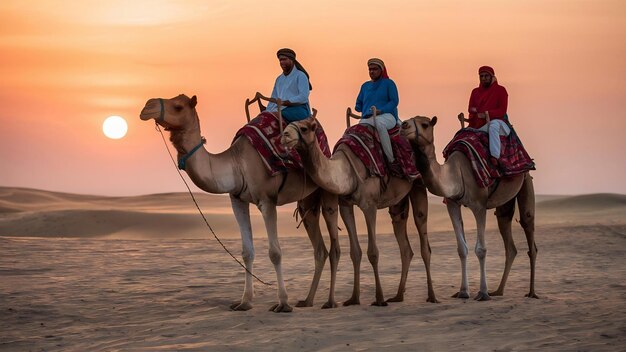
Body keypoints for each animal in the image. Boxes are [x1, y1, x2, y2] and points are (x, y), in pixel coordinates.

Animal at [140, 95, 338, 312]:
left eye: (178, 106)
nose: (147, 106)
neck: (237, 164)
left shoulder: (267, 201)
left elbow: (275, 252)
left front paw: (283, 303)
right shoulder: (237, 201)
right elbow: (247, 252)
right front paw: (245, 302)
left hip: (327, 189)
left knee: (334, 244)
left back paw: (332, 302)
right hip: (306, 201)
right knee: (319, 249)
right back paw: (307, 300)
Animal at [280, 118, 436, 306]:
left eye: (304, 128)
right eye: (288, 125)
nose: (285, 136)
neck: (347, 171)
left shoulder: (369, 205)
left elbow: (373, 252)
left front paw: (379, 299)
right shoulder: (345, 206)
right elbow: (355, 252)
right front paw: (354, 298)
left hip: (418, 184)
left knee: (424, 242)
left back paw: (432, 296)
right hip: (398, 202)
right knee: (405, 246)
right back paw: (398, 296)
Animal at [400, 115, 536, 300]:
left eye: (425, 124)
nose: (404, 125)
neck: (457, 173)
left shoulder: (479, 205)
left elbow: (481, 249)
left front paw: (483, 292)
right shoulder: (452, 204)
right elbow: (461, 249)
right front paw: (464, 291)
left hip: (526, 180)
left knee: (529, 230)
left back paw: (532, 292)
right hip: (504, 204)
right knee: (509, 242)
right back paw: (498, 291)